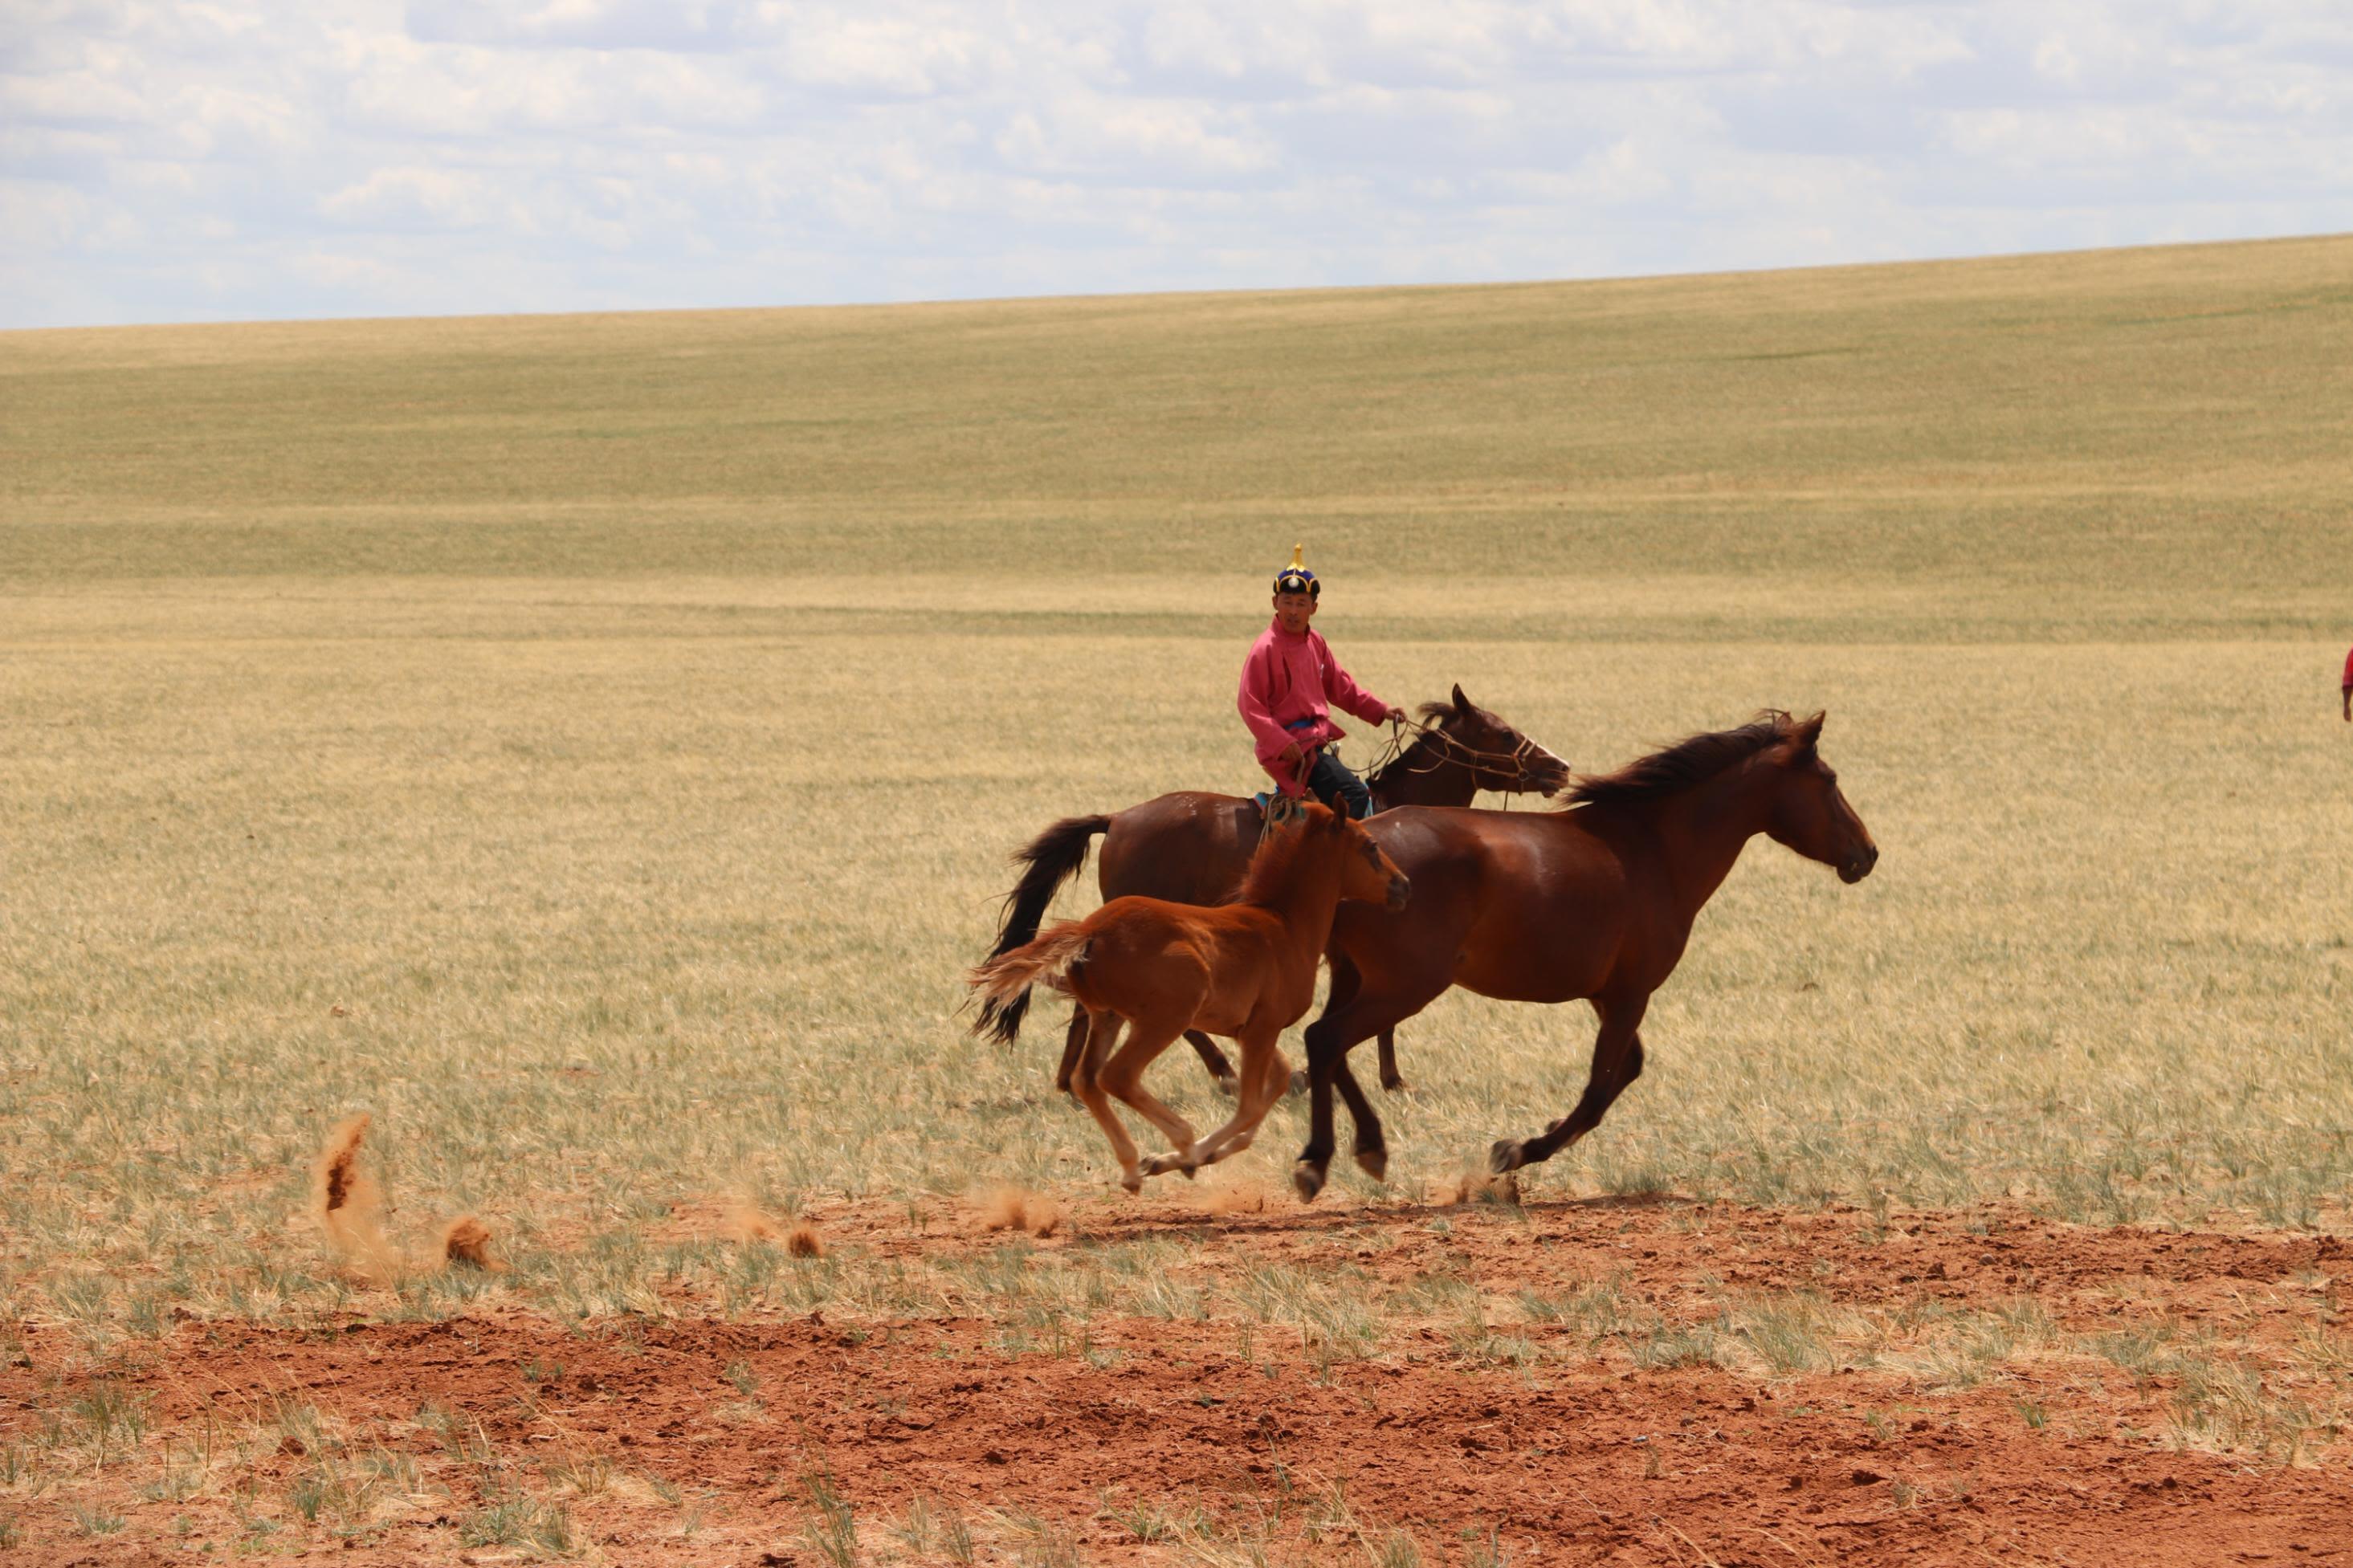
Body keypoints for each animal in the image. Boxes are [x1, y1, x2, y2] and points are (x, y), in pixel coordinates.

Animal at [964, 808, 1402, 1189]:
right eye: (1371, 845)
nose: (1403, 885)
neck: (1282, 924)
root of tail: (1091, 929)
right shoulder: (1261, 1029)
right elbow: (1249, 1105)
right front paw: (1186, 1158)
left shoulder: (1250, 1032)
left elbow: (1274, 1086)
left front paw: (1192, 1157)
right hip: (1165, 1018)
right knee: (1117, 1076)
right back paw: (1181, 1143)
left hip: (1108, 1016)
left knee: (1087, 1079)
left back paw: (1132, 1166)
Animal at [974, 682, 1562, 1100]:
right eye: (1502, 733)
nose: (1558, 766)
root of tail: (1118, 819)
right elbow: (1379, 1015)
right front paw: (1382, 1079)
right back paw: (1220, 1072)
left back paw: (1072, 1082)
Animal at [1289, 710, 1873, 1203]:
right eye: (1830, 781)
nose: (1868, 853)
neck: (1655, 848)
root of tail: (1352, 841)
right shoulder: (1631, 994)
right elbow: (1598, 1091)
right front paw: (1516, 1151)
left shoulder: (1607, 994)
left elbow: (1626, 1070)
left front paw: (1538, 1136)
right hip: (1405, 984)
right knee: (1326, 1039)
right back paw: (1319, 1161)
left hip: (1355, 976)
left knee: (1327, 1046)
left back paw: (1368, 1145)